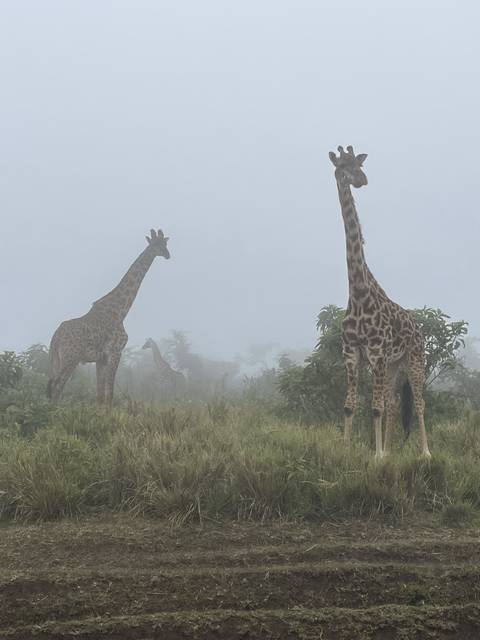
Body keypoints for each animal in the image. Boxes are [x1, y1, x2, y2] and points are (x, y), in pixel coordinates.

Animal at [47, 229, 171, 406]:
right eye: (157, 245)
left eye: (165, 243)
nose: (168, 255)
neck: (120, 311)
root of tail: (55, 337)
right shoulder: (115, 352)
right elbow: (109, 394)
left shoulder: (101, 358)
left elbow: (100, 395)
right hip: (71, 358)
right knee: (57, 386)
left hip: (57, 359)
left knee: (53, 386)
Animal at [328, 146, 431, 458]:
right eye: (342, 166)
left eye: (358, 165)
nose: (362, 180)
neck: (358, 293)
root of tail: (418, 328)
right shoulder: (352, 353)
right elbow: (350, 406)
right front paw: (348, 448)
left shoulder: (375, 353)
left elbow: (374, 408)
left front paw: (376, 456)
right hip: (394, 363)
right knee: (394, 403)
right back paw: (390, 448)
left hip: (413, 358)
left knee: (418, 402)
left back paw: (425, 452)